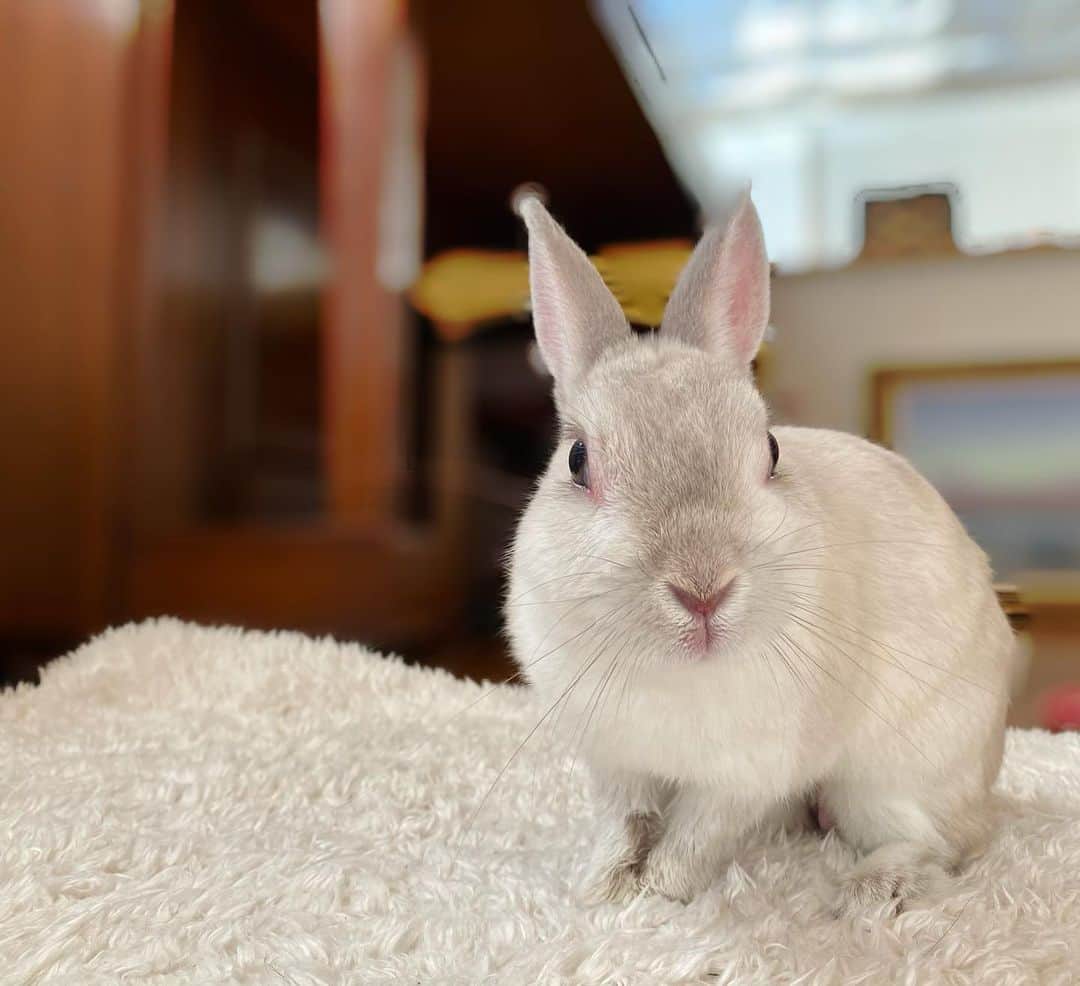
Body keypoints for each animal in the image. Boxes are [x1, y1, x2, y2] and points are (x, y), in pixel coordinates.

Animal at [503, 190, 1015, 915]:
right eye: (577, 461)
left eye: (771, 452)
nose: (703, 590)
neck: (677, 671)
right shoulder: (617, 766)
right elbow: (625, 824)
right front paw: (603, 889)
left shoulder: (742, 780)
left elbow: (693, 841)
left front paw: (657, 895)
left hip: (886, 783)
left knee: (945, 844)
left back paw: (870, 889)